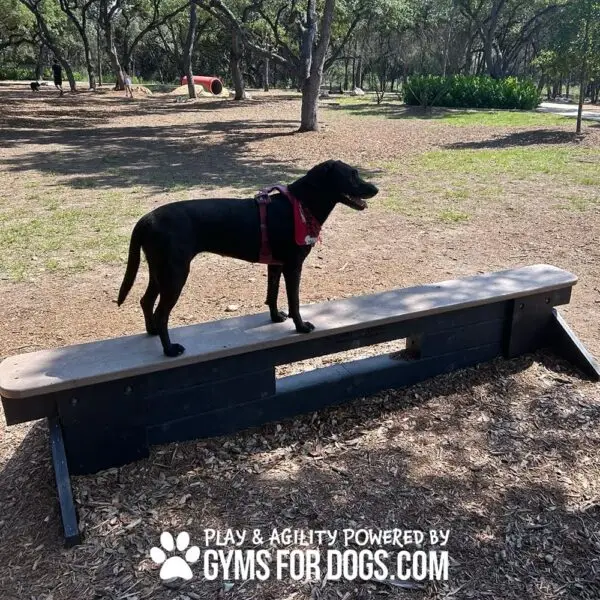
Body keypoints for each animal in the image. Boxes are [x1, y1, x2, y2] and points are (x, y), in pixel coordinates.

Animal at [116, 161, 378, 356]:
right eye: (352, 175)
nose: (375, 188)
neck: (301, 204)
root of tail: (147, 219)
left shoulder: (275, 264)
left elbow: (272, 293)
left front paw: (275, 317)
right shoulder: (293, 266)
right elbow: (294, 301)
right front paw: (301, 326)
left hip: (160, 270)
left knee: (146, 300)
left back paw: (152, 331)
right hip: (175, 273)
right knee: (161, 313)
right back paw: (169, 349)